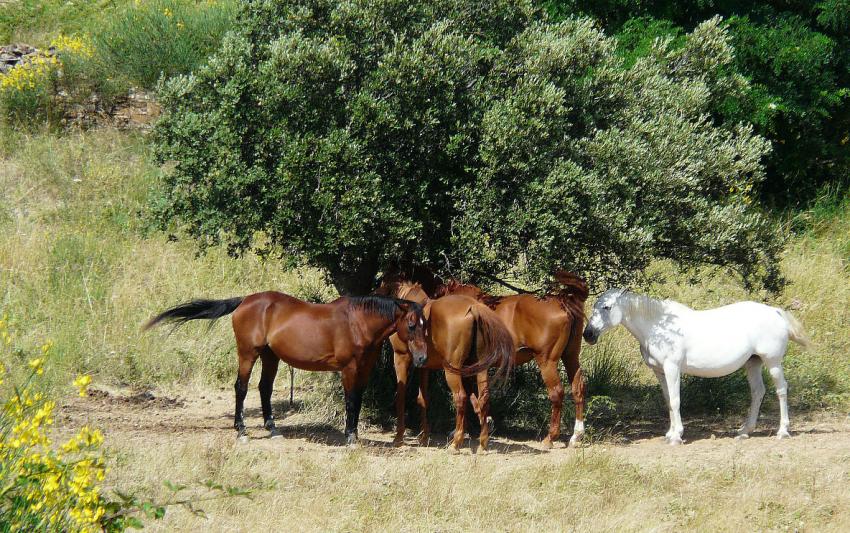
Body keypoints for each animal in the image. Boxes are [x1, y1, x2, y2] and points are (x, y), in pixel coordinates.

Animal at [145, 292, 428, 445]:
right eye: (411, 324)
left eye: (426, 325)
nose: (423, 358)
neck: (356, 322)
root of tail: (245, 301)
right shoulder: (349, 369)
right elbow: (350, 400)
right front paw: (350, 438)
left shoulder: (364, 369)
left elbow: (357, 400)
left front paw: (355, 435)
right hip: (248, 353)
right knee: (241, 387)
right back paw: (241, 431)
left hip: (270, 356)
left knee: (264, 388)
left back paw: (272, 429)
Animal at [377, 281, 514, 452]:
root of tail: (474, 308)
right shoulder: (424, 367)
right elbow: (423, 398)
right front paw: (424, 437)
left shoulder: (401, 359)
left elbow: (400, 396)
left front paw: (399, 437)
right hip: (480, 369)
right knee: (483, 398)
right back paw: (482, 444)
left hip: (452, 371)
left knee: (460, 397)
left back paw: (455, 443)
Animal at [435, 271, 589, 448]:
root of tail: (561, 301)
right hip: (570, 356)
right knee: (578, 388)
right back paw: (576, 436)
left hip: (547, 362)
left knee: (557, 393)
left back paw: (550, 437)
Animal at [582, 289, 812, 444]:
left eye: (606, 307)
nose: (588, 334)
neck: (658, 326)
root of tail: (775, 312)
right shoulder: (659, 371)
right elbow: (668, 401)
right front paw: (670, 433)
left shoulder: (672, 368)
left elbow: (675, 400)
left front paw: (676, 437)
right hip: (753, 363)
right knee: (758, 392)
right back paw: (745, 431)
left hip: (772, 362)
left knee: (781, 390)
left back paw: (782, 431)